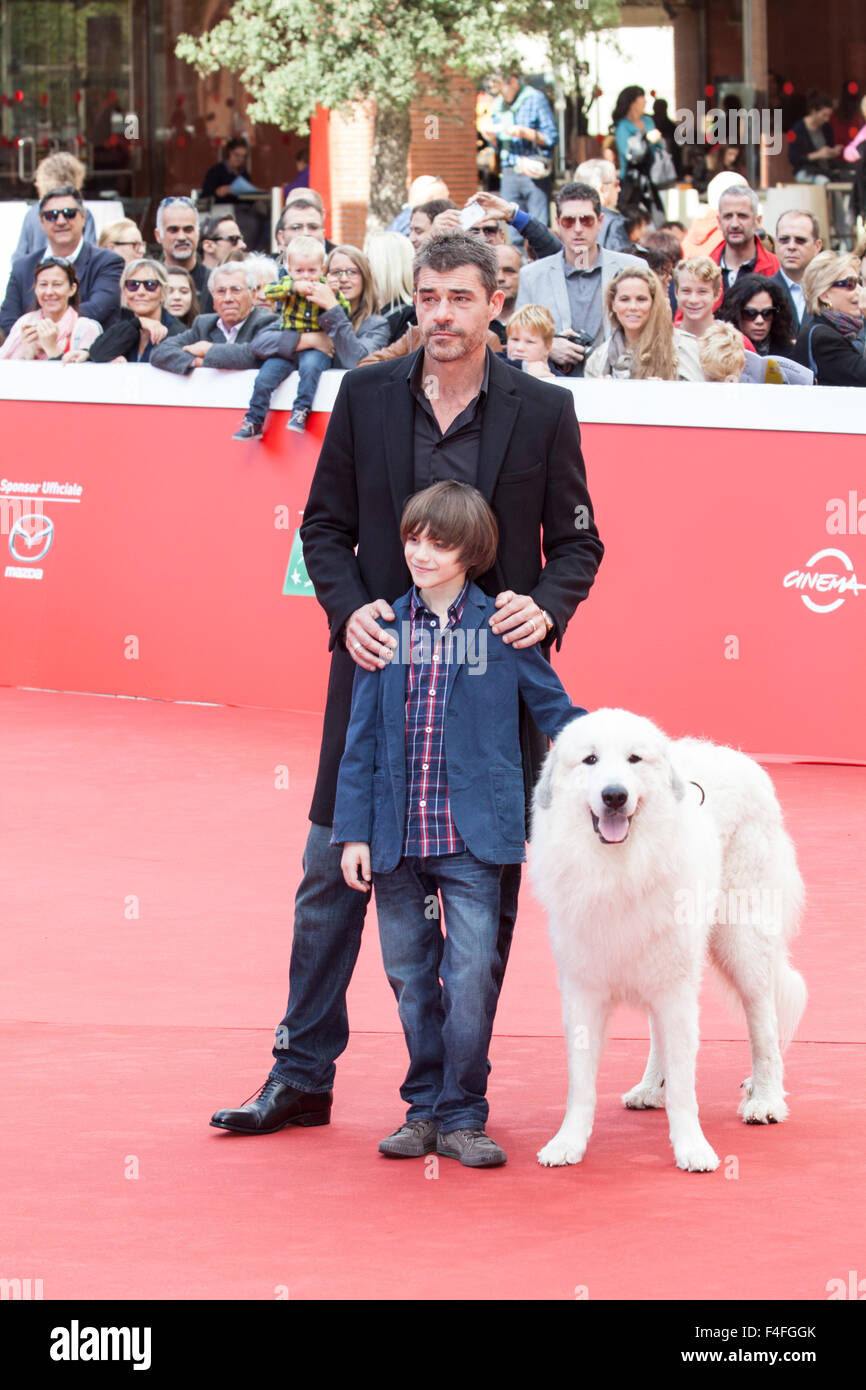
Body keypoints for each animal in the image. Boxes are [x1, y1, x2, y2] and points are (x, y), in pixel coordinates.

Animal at [530, 706, 811, 1173]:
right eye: (590, 760)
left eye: (634, 759)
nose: (614, 796)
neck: (620, 868)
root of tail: (737, 757)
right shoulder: (584, 988)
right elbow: (581, 1082)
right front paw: (567, 1144)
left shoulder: (678, 987)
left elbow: (684, 1086)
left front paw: (693, 1150)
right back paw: (650, 1089)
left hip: (742, 946)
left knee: (764, 1026)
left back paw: (766, 1100)